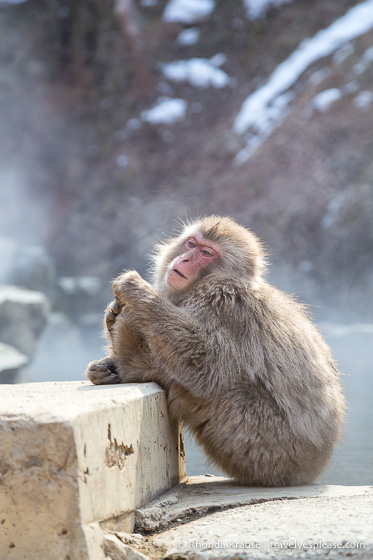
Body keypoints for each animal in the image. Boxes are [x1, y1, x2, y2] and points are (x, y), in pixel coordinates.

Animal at [85, 214, 344, 486]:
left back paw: (131, 361)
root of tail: (310, 471)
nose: (185, 259)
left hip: (266, 446)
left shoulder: (224, 300)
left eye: (207, 252)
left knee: (214, 390)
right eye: (191, 244)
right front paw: (111, 329)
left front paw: (137, 291)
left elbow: (206, 366)